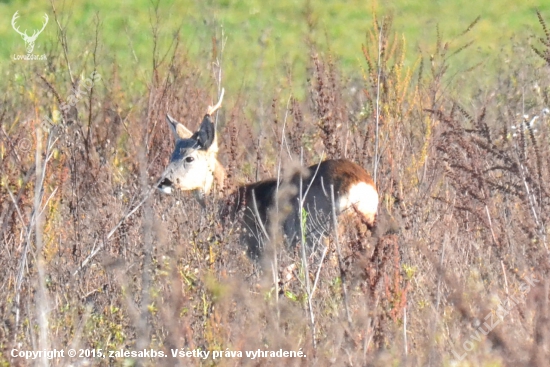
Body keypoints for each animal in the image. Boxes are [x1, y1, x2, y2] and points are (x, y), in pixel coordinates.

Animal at [160, 90, 380, 260]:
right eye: (172, 155)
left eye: (189, 158)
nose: (163, 182)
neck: (231, 198)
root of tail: (360, 187)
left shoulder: (255, 248)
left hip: (320, 234)